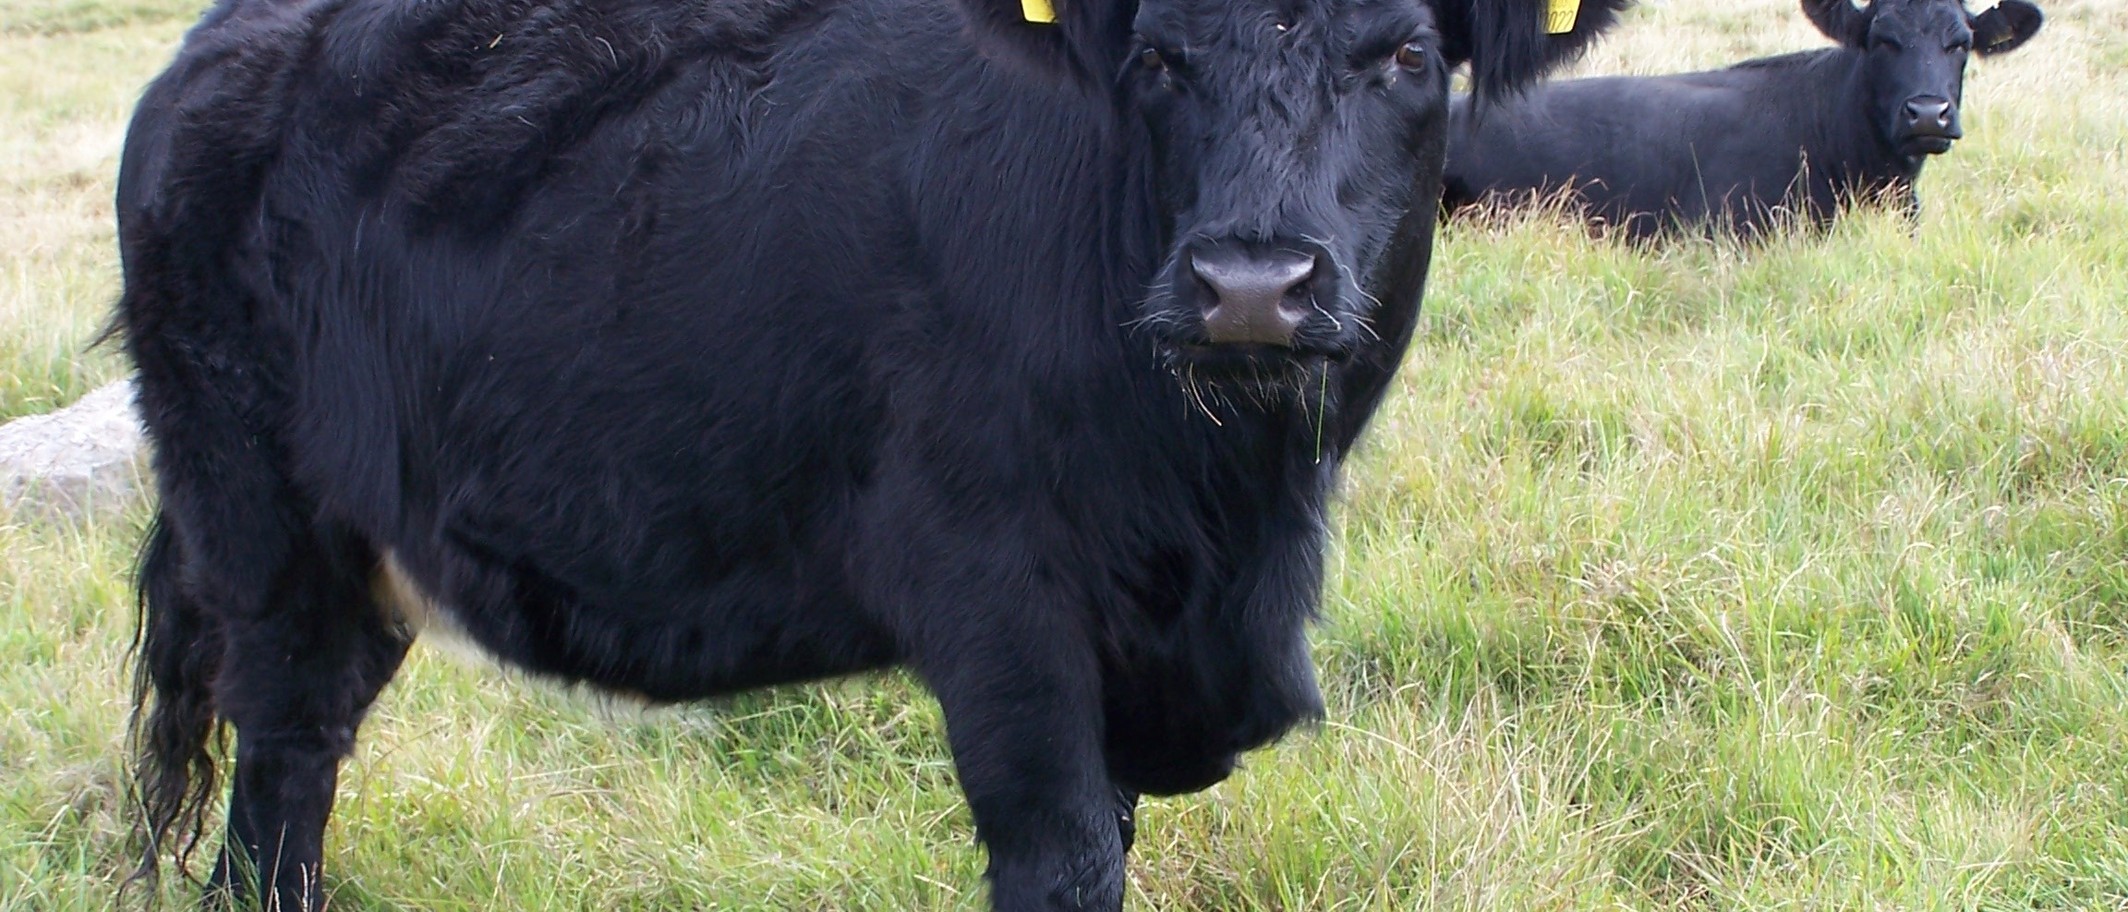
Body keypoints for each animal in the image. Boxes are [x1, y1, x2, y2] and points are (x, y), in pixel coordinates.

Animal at [112, 0, 1624, 907]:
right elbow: (1063, 856)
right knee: (283, 761)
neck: (1235, 522)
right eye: (1154, 53)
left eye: (1409, 53)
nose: (1252, 284)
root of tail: (223, 46)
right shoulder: (998, 609)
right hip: (257, 517)